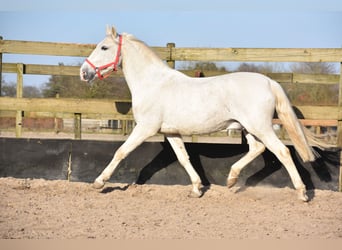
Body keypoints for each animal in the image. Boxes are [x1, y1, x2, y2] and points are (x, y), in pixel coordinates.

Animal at [81, 25, 318, 201]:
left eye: (104, 47)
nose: (84, 72)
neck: (153, 83)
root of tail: (269, 82)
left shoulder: (145, 128)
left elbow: (121, 152)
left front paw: (99, 182)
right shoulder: (171, 132)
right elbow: (183, 158)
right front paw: (196, 188)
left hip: (260, 127)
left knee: (282, 152)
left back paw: (302, 193)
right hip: (249, 128)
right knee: (257, 149)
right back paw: (231, 180)